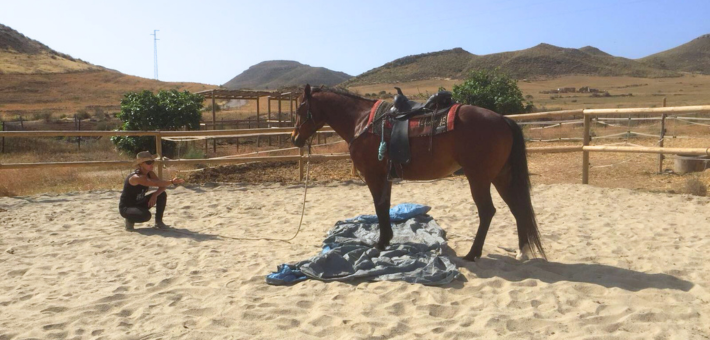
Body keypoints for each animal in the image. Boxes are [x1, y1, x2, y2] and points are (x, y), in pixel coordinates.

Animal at [292, 84, 548, 260]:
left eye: (300, 108)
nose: (294, 139)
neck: (362, 121)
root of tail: (503, 120)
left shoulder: (374, 176)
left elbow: (379, 207)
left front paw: (380, 243)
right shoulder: (386, 177)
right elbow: (385, 206)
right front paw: (386, 240)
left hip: (479, 178)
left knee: (487, 212)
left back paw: (472, 254)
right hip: (501, 176)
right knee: (518, 208)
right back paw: (522, 251)